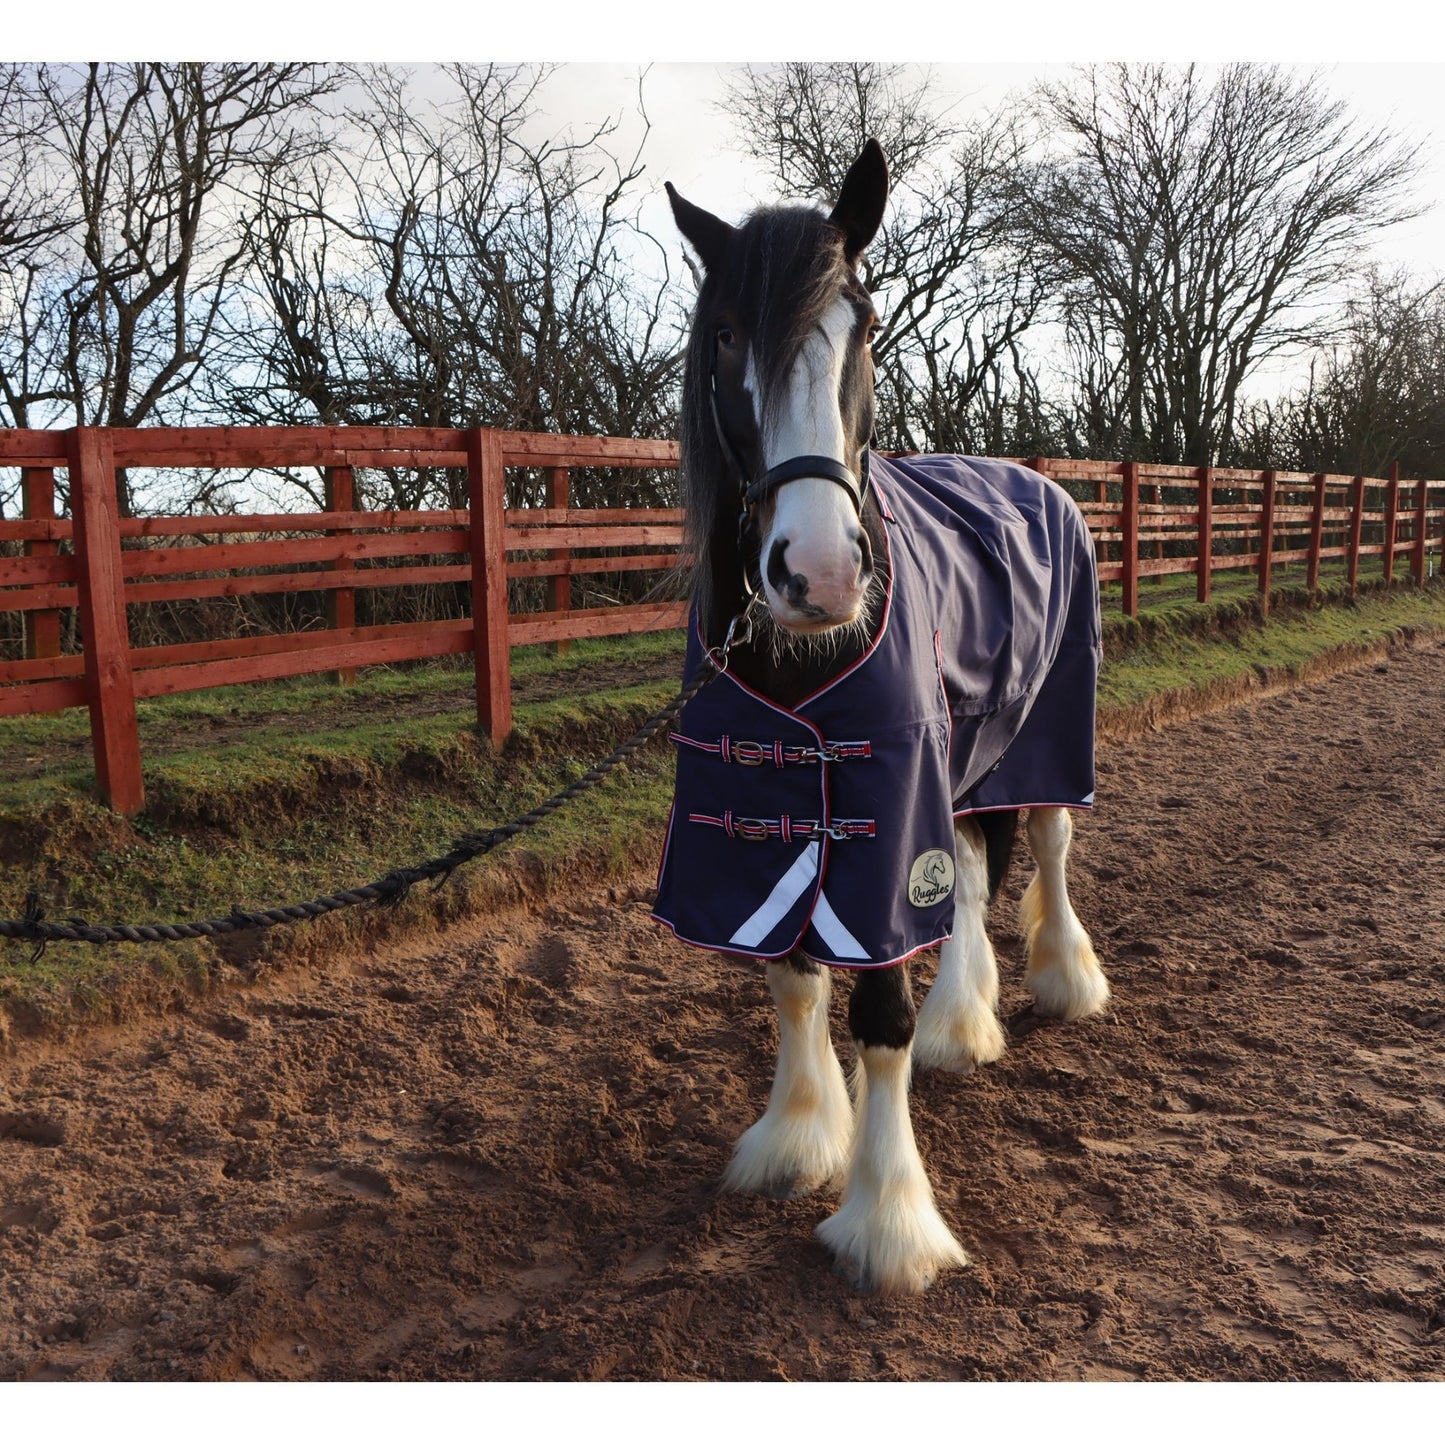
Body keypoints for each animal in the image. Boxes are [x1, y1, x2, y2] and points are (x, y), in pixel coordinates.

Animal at [651, 139, 1111, 1296]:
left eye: (859, 321)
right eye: (728, 335)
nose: (816, 573)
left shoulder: (883, 805)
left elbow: (878, 1012)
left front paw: (887, 1217)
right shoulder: (768, 812)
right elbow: (792, 980)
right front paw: (796, 1134)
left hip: (1047, 736)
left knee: (1046, 842)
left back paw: (1060, 979)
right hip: (961, 760)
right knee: (973, 872)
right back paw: (967, 1019)